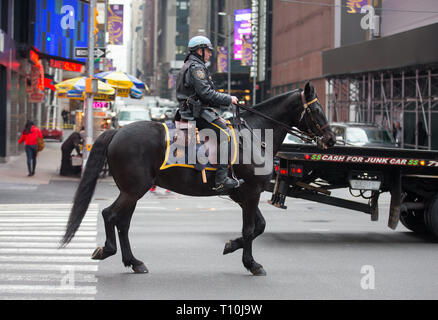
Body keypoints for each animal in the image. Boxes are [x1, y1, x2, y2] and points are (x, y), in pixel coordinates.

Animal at [62, 82, 336, 276]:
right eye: (316, 109)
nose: (331, 139)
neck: (256, 134)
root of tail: (117, 131)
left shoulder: (243, 195)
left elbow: (259, 226)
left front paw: (231, 245)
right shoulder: (251, 193)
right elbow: (250, 229)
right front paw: (251, 263)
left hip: (132, 191)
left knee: (123, 223)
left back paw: (134, 261)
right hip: (133, 190)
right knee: (110, 215)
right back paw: (108, 250)